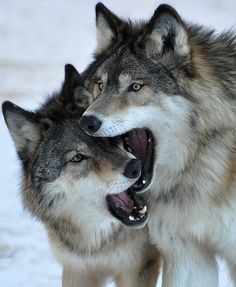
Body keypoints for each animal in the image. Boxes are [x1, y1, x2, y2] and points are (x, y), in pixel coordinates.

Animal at [1, 65, 159, 287]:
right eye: (77, 157)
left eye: (106, 139)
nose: (135, 167)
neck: (96, 242)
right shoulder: (77, 269)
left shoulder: (138, 268)